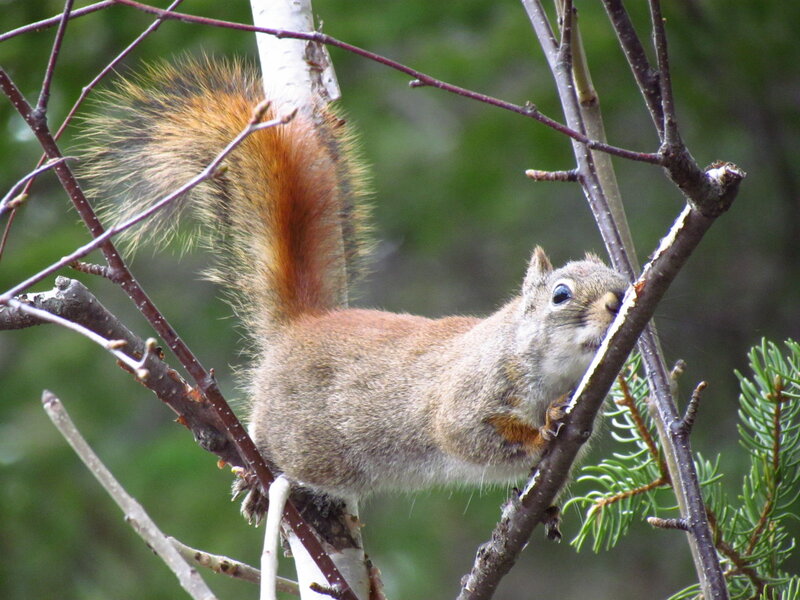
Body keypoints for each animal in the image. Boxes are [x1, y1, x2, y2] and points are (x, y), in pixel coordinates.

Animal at [81, 56, 627, 516]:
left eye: (623, 279)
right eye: (560, 294)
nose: (618, 300)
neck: (552, 370)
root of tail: (300, 326)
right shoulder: (469, 393)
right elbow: (468, 435)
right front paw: (543, 430)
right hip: (300, 437)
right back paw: (255, 477)